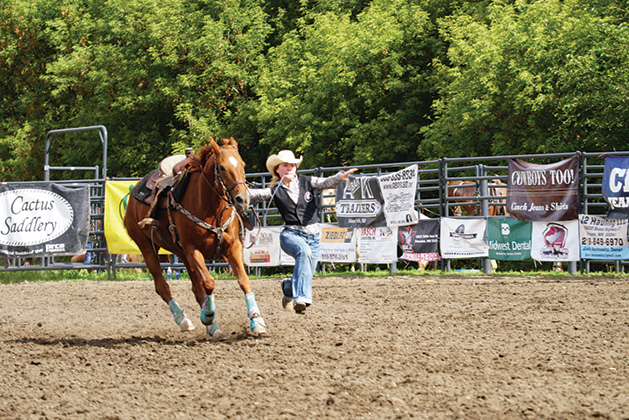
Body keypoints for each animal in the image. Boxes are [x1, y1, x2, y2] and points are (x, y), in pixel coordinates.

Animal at [124, 138, 266, 342]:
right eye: (222, 167)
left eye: (242, 164)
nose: (243, 199)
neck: (211, 208)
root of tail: (135, 190)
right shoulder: (193, 251)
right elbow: (209, 283)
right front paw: (207, 315)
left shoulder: (232, 247)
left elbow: (243, 280)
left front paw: (257, 321)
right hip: (147, 247)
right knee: (162, 286)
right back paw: (184, 320)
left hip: (182, 254)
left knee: (196, 289)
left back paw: (213, 327)